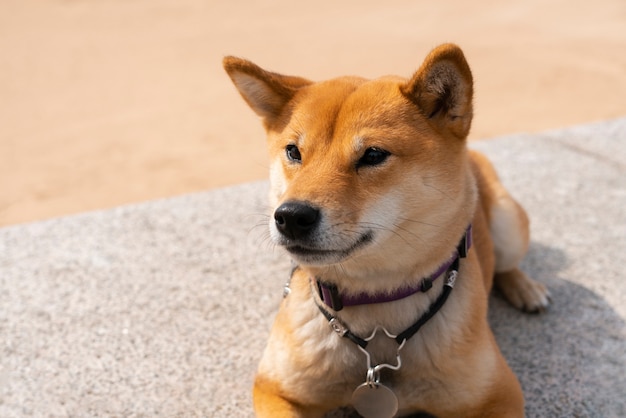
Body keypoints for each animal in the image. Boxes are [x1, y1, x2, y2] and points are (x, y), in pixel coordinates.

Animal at [222, 43, 548, 418]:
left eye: (373, 155)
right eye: (293, 151)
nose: (291, 216)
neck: (376, 302)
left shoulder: (500, 397)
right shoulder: (276, 388)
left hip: (509, 224)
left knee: (508, 262)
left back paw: (526, 288)